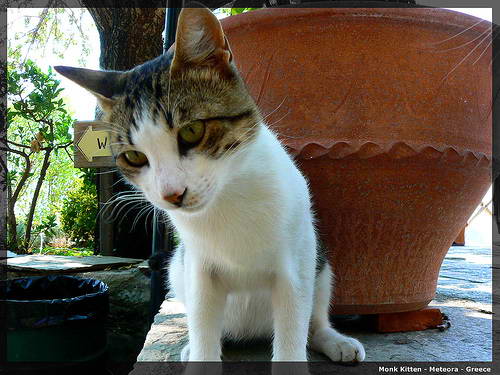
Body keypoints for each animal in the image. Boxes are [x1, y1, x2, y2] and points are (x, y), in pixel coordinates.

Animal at [54, 5, 366, 364]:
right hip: (178, 268)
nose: (172, 194)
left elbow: (292, 333)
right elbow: (204, 322)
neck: (228, 196)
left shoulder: (297, 263)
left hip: (320, 263)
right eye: (134, 156)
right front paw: (199, 348)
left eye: (192, 132)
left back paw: (332, 339)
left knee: (314, 315)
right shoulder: (199, 267)